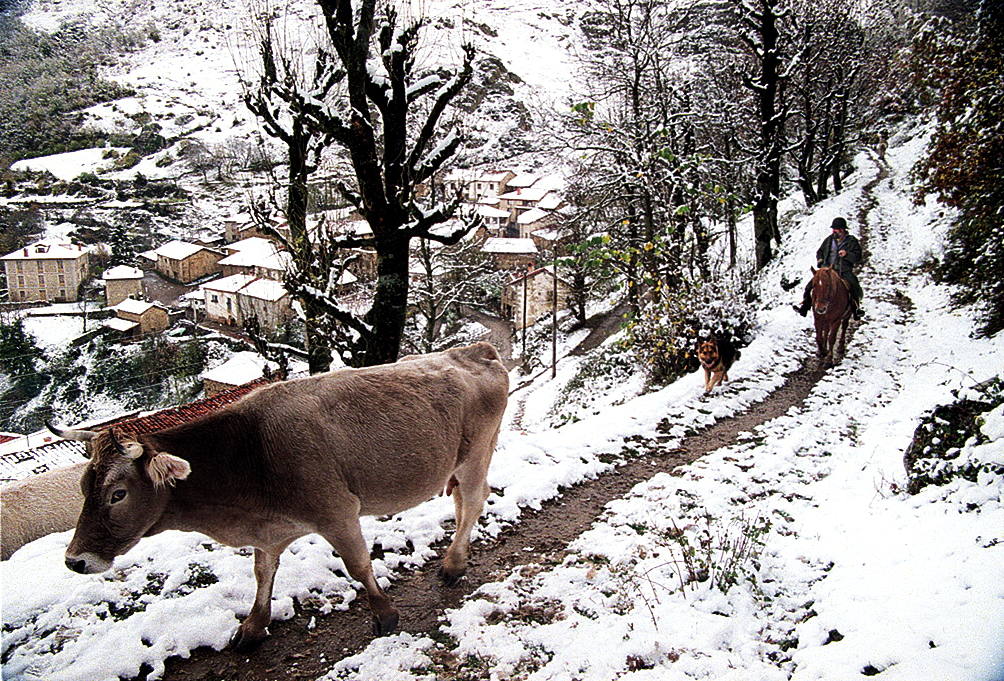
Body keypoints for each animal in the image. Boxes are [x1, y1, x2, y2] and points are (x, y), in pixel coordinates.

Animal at [48, 343, 510, 654]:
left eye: (117, 493)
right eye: (84, 488)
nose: (74, 561)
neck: (249, 455)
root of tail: (477, 350)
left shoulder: (338, 512)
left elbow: (359, 566)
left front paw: (384, 613)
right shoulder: (267, 530)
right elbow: (262, 573)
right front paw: (252, 627)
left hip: (475, 456)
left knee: (474, 501)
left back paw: (453, 565)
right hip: (455, 464)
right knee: (462, 504)